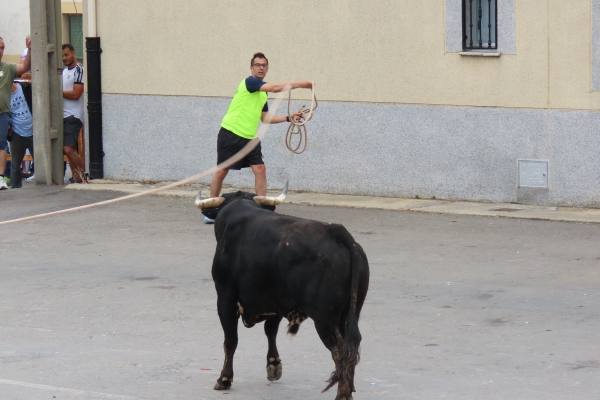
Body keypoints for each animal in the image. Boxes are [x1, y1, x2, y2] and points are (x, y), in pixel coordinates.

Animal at [200, 192, 370, 398]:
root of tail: (336, 231)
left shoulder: (225, 297)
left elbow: (230, 340)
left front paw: (224, 379)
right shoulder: (277, 302)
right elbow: (270, 331)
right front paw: (273, 365)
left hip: (325, 319)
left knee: (340, 351)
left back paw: (343, 394)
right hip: (349, 314)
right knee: (352, 346)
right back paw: (349, 388)